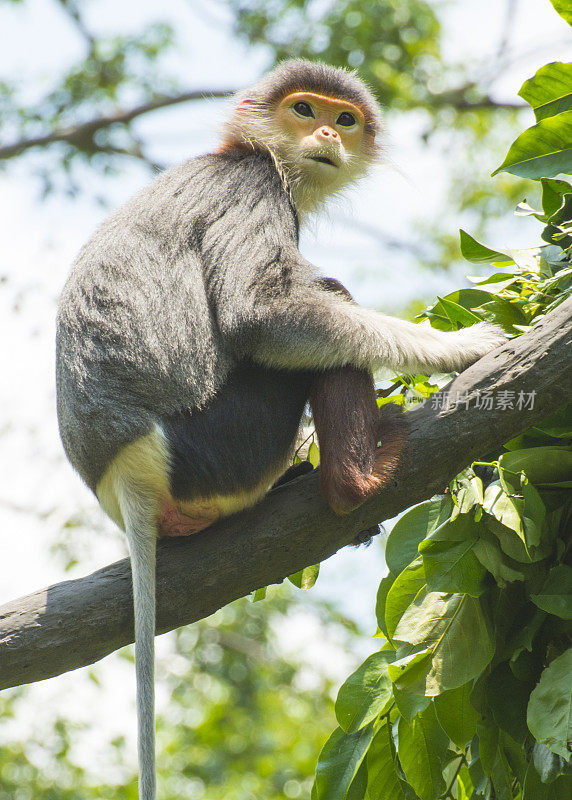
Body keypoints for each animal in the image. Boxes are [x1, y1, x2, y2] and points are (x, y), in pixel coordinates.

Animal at [55, 59, 504, 796]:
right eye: (303, 109)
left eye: (344, 120)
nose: (325, 133)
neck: (243, 153)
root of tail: (125, 480)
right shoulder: (254, 189)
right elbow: (262, 313)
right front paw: (462, 345)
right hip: (221, 448)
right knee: (321, 309)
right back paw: (358, 477)